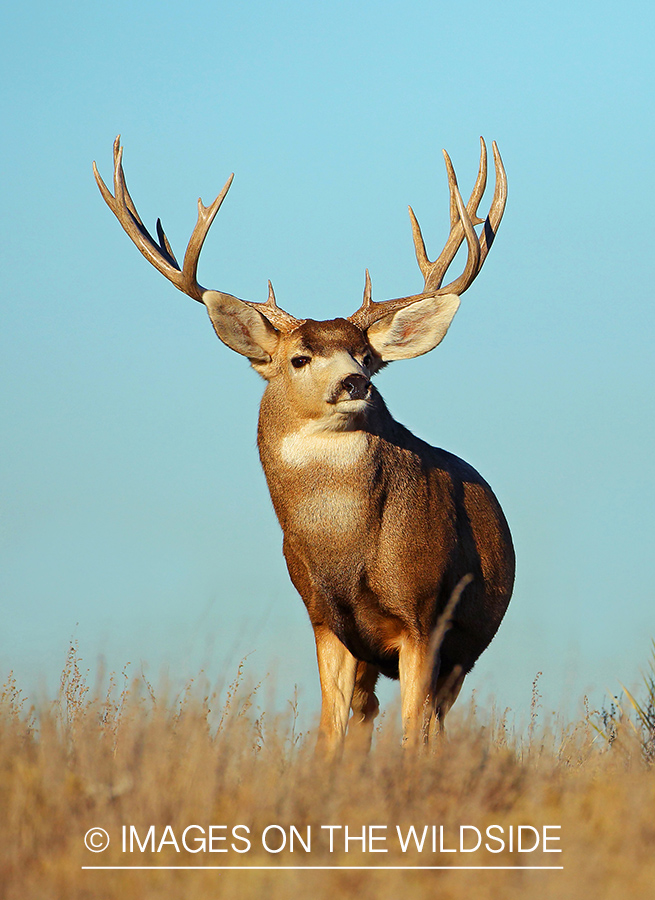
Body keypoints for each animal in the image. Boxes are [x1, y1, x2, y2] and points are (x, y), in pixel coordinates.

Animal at [93, 135, 512, 752]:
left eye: (367, 356)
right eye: (299, 357)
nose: (355, 383)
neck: (345, 550)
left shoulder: (423, 615)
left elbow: (412, 737)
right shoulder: (323, 618)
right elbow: (328, 735)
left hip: (461, 650)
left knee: (431, 721)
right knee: (367, 713)